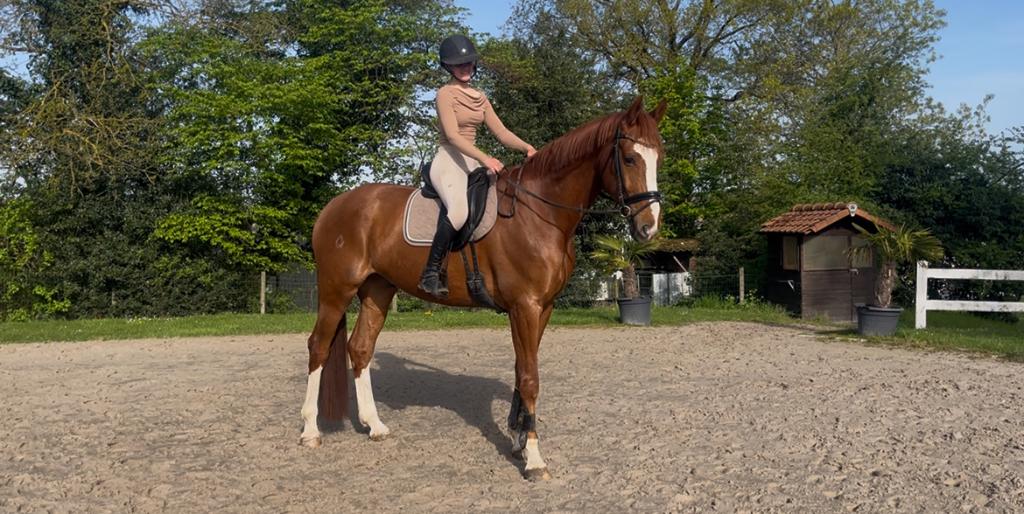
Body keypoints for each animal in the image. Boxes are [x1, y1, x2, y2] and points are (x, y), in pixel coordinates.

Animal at [299, 96, 667, 481]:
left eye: (659, 157)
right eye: (630, 158)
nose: (649, 227)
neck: (538, 212)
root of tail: (334, 206)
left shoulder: (543, 308)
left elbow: (522, 370)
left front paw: (518, 440)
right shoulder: (525, 307)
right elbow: (530, 377)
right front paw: (534, 458)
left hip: (378, 291)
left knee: (360, 349)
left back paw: (374, 425)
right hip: (336, 291)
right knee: (318, 347)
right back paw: (310, 431)